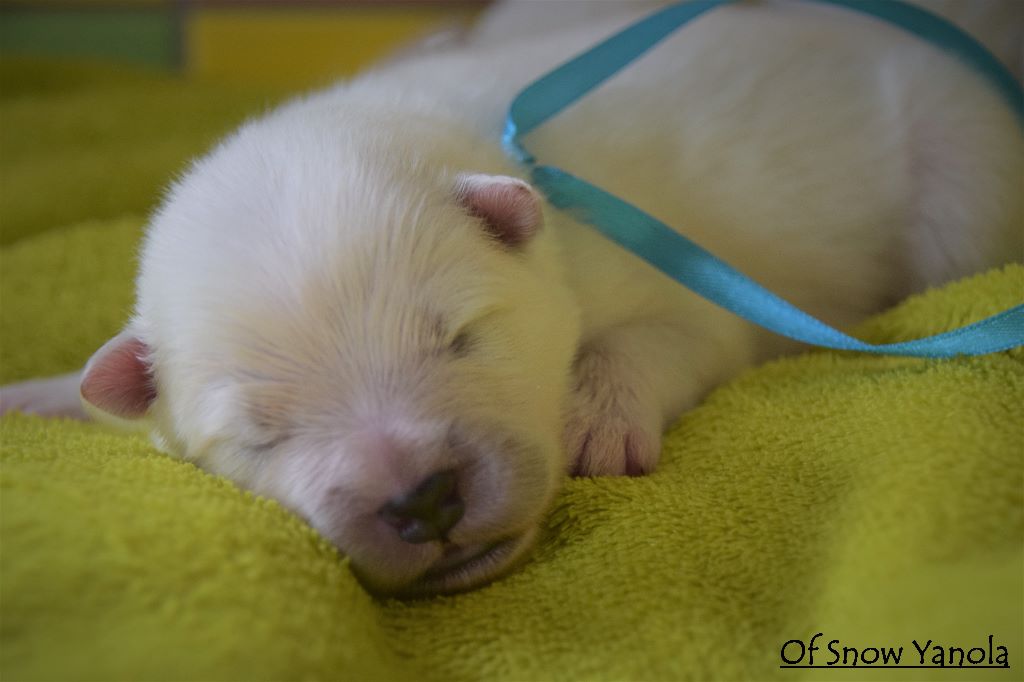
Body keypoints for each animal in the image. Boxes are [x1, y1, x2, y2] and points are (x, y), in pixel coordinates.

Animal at [2, 1, 1024, 593]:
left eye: (462, 338)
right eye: (260, 435)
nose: (422, 500)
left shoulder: (675, 279)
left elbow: (660, 338)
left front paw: (598, 417)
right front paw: (44, 396)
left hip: (964, 179)